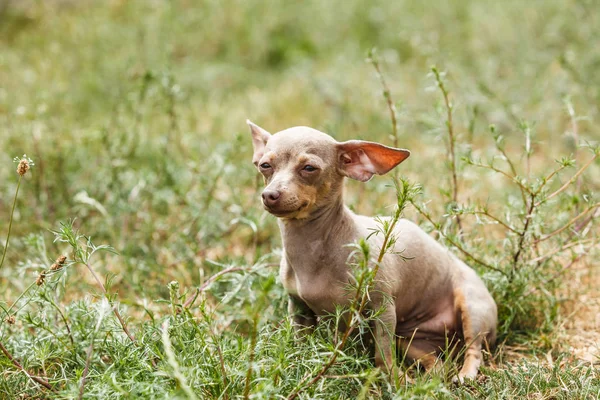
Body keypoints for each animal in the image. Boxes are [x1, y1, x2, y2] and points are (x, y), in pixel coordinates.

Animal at [245, 120, 496, 380]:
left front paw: (392, 380)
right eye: (265, 166)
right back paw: (427, 379)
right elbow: (301, 345)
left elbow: (382, 356)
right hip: (410, 341)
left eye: (309, 168)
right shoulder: (298, 309)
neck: (313, 247)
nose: (270, 195)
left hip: (472, 308)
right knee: (438, 364)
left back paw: (463, 374)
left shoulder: (383, 309)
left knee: (474, 349)